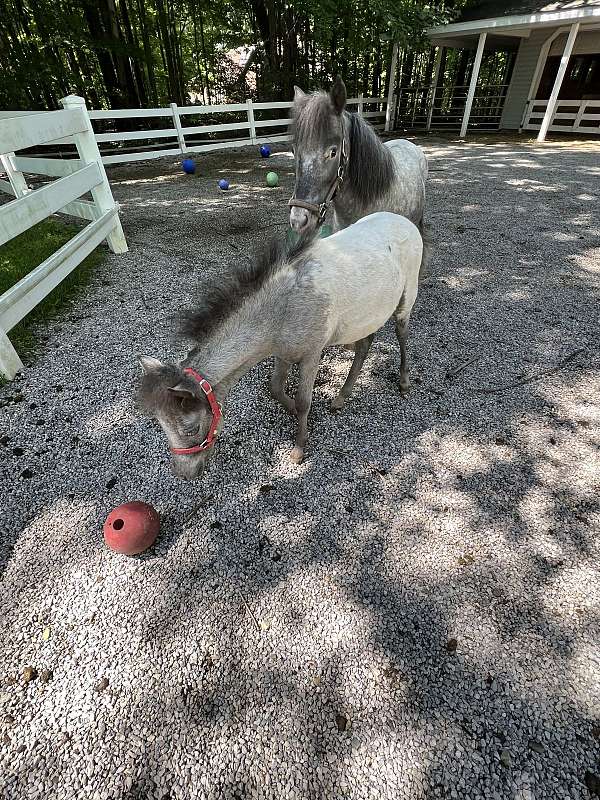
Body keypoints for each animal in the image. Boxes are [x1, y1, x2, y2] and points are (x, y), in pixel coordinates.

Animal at [139, 209, 422, 482]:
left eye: (191, 428)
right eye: (161, 425)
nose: (183, 474)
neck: (282, 309)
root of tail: (405, 221)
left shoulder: (312, 355)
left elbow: (303, 401)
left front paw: (299, 447)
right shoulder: (283, 352)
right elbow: (275, 388)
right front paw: (296, 416)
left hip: (406, 300)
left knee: (402, 333)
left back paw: (404, 382)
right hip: (366, 317)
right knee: (364, 346)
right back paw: (341, 397)